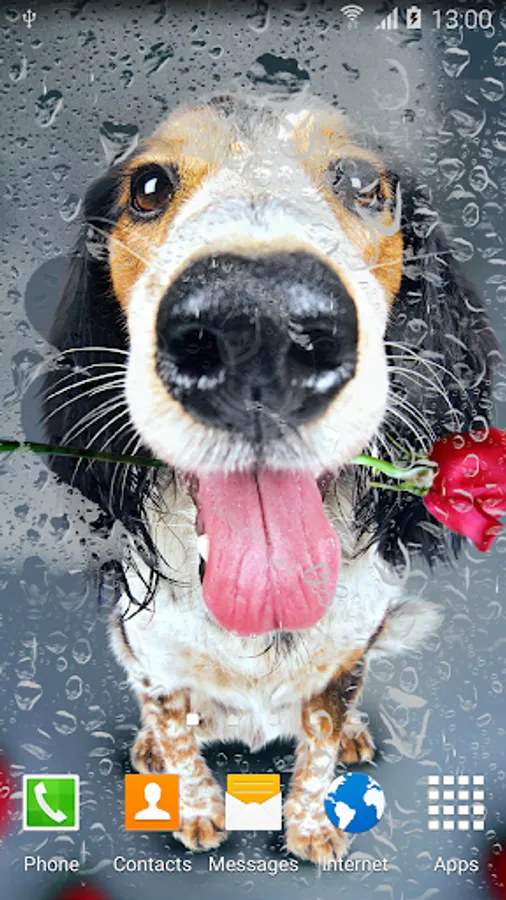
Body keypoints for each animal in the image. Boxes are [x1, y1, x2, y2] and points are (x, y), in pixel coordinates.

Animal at [41, 92, 497, 864]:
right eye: (149, 187)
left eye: (363, 182)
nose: (255, 321)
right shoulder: (154, 661)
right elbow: (177, 733)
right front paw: (195, 808)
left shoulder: (345, 660)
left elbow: (316, 753)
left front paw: (313, 826)